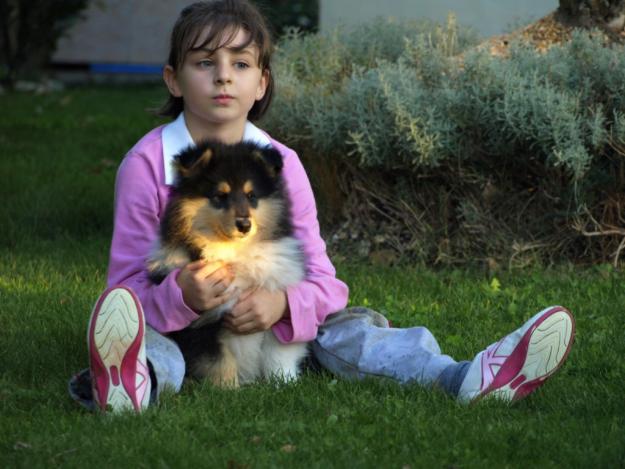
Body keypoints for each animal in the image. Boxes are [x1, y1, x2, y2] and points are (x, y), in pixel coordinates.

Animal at [147, 140, 308, 388]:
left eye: (251, 195)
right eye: (220, 196)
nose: (244, 225)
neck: (234, 252)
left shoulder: (275, 302)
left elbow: (278, 353)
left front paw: (284, 384)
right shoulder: (204, 325)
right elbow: (219, 361)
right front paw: (228, 391)